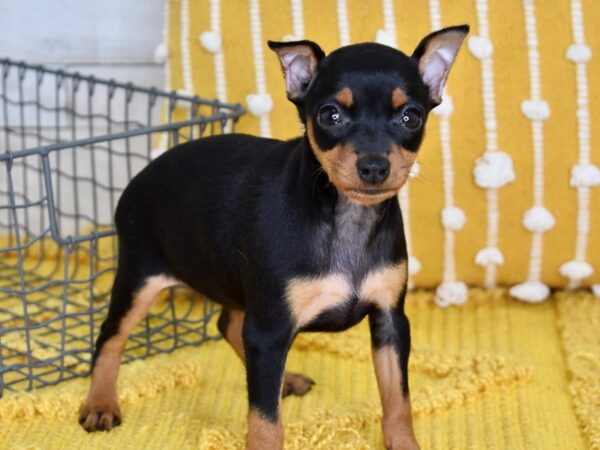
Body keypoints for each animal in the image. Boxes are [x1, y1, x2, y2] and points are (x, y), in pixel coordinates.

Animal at [79, 25, 472, 450]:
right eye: (330, 115)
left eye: (410, 117)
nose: (373, 167)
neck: (345, 216)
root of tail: (140, 178)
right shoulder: (269, 331)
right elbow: (266, 421)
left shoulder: (389, 321)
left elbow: (398, 399)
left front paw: (404, 443)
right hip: (141, 278)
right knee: (110, 336)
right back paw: (100, 403)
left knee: (228, 325)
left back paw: (286, 380)